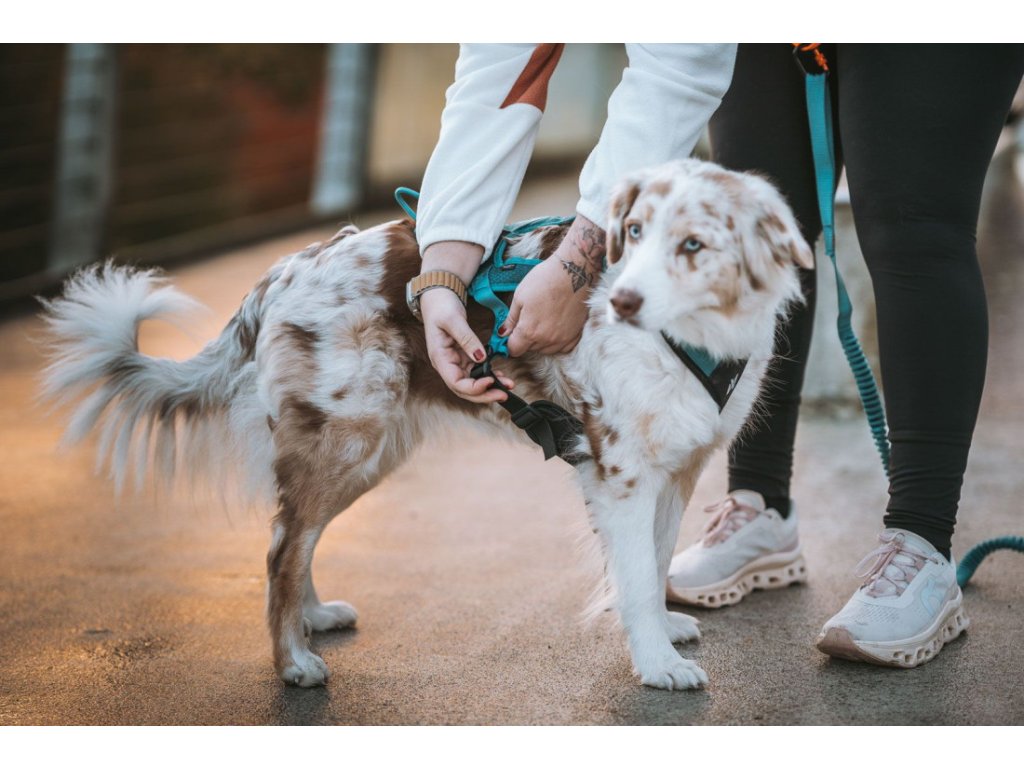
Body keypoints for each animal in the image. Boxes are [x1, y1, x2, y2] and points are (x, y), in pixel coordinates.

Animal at [39, 158, 812, 690]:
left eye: (693, 245)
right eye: (632, 235)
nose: (620, 301)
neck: (690, 337)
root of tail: (288, 267)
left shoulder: (676, 467)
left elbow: (651, 562)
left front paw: (660, 632)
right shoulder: (619, 470)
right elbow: (636, 575)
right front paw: (654, 663)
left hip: (367, 448)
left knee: (294, 535)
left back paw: (312, 619)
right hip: (348, 440)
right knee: (281, 547)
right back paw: (293, 661)